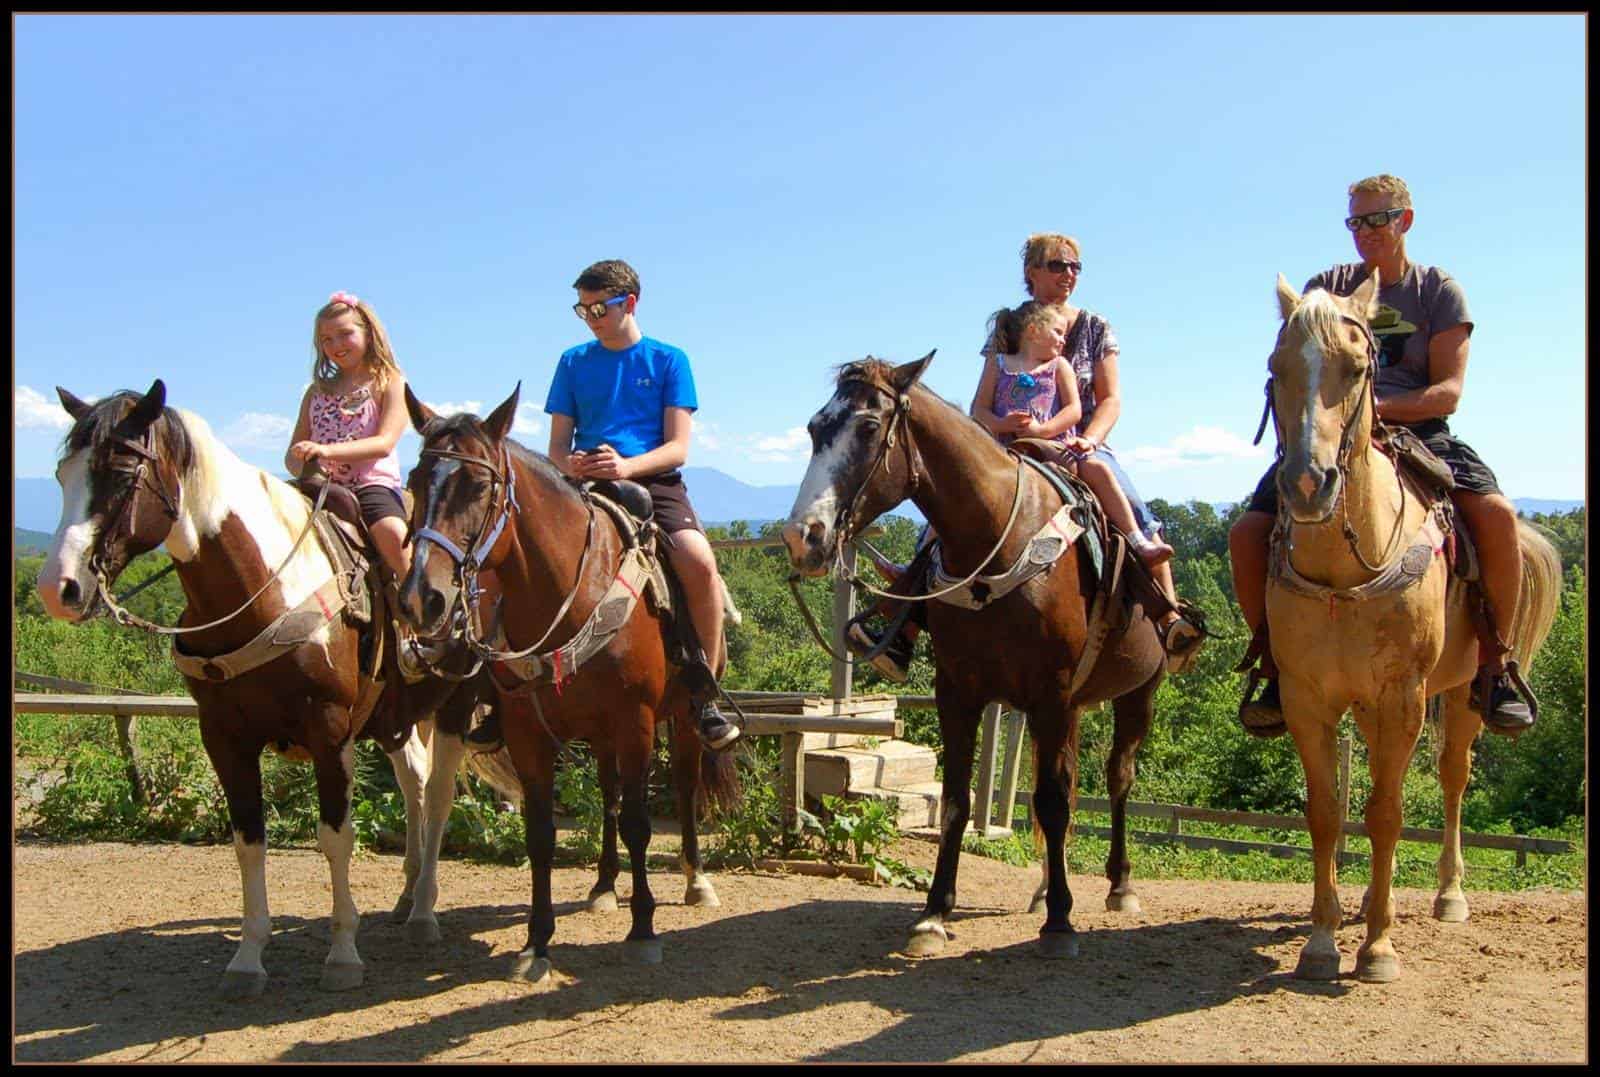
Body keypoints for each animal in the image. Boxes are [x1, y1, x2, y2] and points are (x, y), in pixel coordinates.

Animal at [36, 380, 499, 998]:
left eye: (119, 472)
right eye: (62, 473)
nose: (57, 588)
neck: (266, 587)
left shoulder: (330, 733)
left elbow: (336, 837)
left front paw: (343, 954)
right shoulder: (224, 738)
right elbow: (248, 839)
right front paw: (248, 957)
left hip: (456, 703)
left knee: (441, 795)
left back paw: (424, 910)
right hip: (395, 720)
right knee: (415, 785)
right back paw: (405, 896)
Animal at [400, 387, 736, 985]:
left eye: (479, 486)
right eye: (416, 482)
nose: (423, 598)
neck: (570, 590)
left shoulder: (636, 722)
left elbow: (640, 824)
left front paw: (643, 931)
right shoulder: (528, 733)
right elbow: (542, 835)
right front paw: (537, 943)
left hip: (680, 718)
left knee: (684, 786)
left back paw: (696, 879)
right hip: (598, 735)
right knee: (607, 794)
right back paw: (603, 886)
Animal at [784, 355, 1171, 960]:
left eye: (869, 428)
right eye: (813, 428)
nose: (803, 538)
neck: (999, 540)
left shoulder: (1051, 693)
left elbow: (1053, 801)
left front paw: (1061, 924)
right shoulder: (959, 693)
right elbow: (959, 802)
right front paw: (933, 915)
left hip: (1137, 695)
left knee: (1117, 779)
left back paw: (1119, 886)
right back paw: (1044, 889)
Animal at [1254, 273, 1555, 979]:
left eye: (1359, 368)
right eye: (1277, 368)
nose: (1306, 484)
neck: (1344, 570)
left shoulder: (1403, 697)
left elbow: (1388, 814)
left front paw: (1378, 949)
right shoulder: (1309, 698)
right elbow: (1328, 812)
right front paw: (1321, 940)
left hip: (1463, 692)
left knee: (1453, 777)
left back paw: (1448, 894)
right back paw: (1370, 899)